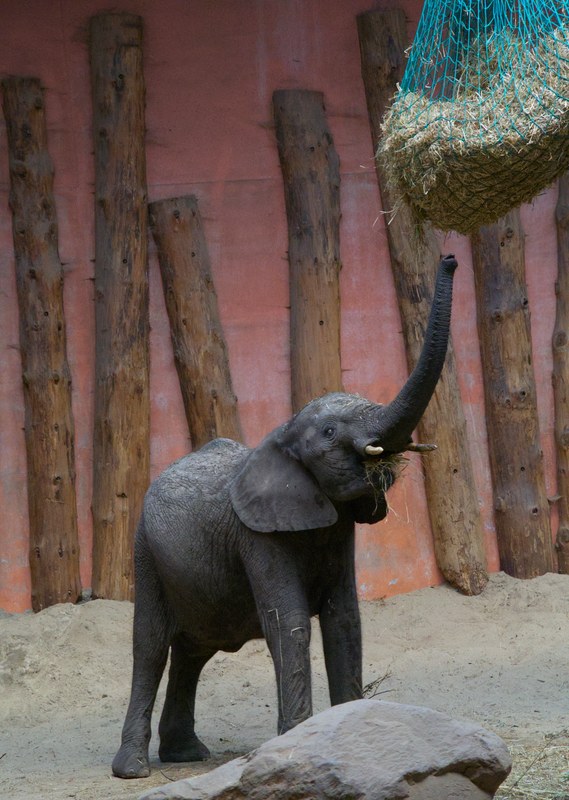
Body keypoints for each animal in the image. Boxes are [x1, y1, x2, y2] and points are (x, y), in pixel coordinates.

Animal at [112, 254, 458, 778]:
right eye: (330, 432)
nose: (451, 258)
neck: (281, 430)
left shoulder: (337, 528)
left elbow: (344, 619)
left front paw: (348, 734)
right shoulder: (256, 537)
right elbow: (288, 621)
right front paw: (297, 745)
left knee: (193, 648)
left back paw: (186, 754)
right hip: (144, 550)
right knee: (150, 645)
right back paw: (133, 770)